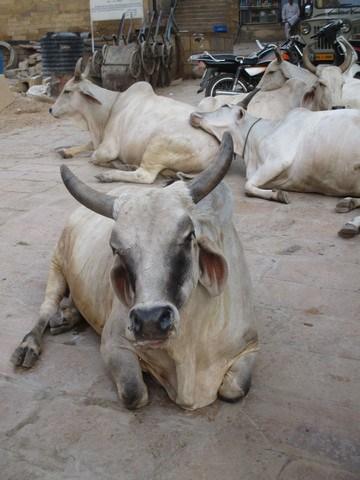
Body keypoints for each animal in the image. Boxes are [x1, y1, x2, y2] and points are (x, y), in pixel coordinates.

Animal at [11, 133, 258, 410]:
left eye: (189, 236)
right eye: (115, 248)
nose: (150, 321)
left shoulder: (249, 346)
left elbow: (234, 390)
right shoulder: (114, 344)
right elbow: (134, 393)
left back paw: (67, 317)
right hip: (57, 264)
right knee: (46, 308)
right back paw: (30, 344)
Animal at [50, 59, 219, 186]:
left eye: (67, 91)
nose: (51, 109)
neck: (111, 107)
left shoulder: (108, 148)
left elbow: (94, 157)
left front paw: (120, 164)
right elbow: (88, 145)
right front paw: (65, 151)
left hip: (156, 146)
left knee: (144, 176)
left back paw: (110, 175)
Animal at [191, 102, 360, 205]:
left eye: (224, 105)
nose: (194, 114)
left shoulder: (279, 160)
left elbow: (248, 186)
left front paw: (278, 195)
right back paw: (349, 203)